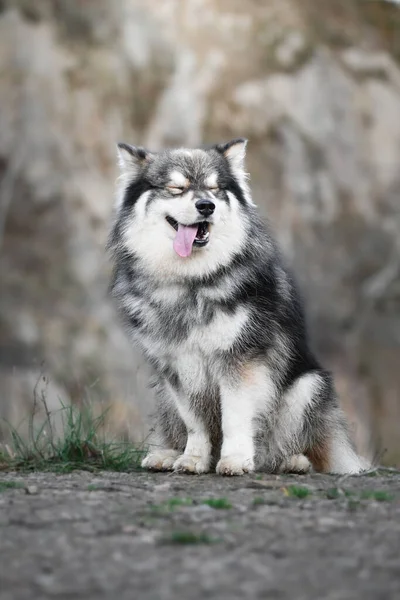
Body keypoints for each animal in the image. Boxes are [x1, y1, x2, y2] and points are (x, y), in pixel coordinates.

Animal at [107, 138, 368, 476]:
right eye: (176, 188)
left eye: (215, 188)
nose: (206, 206)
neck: (192, 280)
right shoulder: (178, 369)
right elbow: (195, 423)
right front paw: (193, 459)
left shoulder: (239, 362)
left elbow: (234, 417)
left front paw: (234, 460)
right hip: (165, 393)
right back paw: (165, 455)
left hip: (307, 387)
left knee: (293, 448)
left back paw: (291, 461)